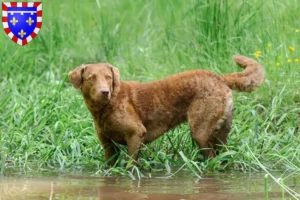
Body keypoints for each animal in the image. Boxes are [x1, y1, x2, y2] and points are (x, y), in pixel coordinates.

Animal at [68, 55, 262, 166]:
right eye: (91, 78)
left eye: (108, 77)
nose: (104, 92)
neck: (105, 109)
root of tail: (219, 77)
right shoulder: (107, 144)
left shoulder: (135, 134)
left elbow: (131, 165)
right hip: (221, 133)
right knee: (224, 157)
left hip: (200, 131)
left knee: (213, 159)